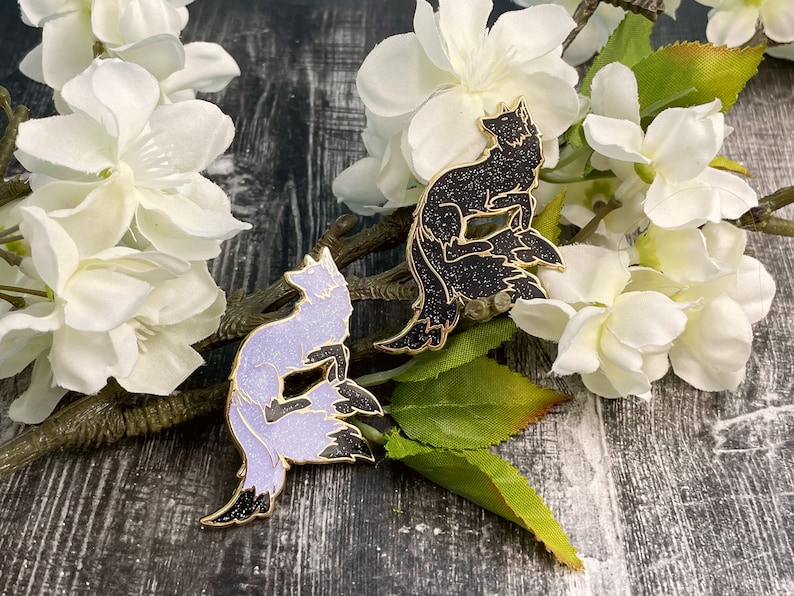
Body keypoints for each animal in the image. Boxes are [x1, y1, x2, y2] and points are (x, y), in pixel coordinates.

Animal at [201, 248, 382, 527]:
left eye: (311, 273)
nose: (292, 278)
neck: (323, 310)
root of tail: (235, 394)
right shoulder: (307, 356)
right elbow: (338, 352)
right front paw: (337, 375)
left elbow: (340, 356)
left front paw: (336, 377)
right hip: (269, 376)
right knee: (273, 411)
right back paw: (303, 401)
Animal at [375, 97, 565, 354]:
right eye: (498, 123)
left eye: (506, 121)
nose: (484, 122)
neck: (514, 155)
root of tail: (419, 219)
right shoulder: (492, 202)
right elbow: (525, 200)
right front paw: (522, 225)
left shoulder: (515, 195)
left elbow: (527, 201)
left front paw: (519, 226)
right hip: (453, 215)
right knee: (451, 251)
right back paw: (480, 245)